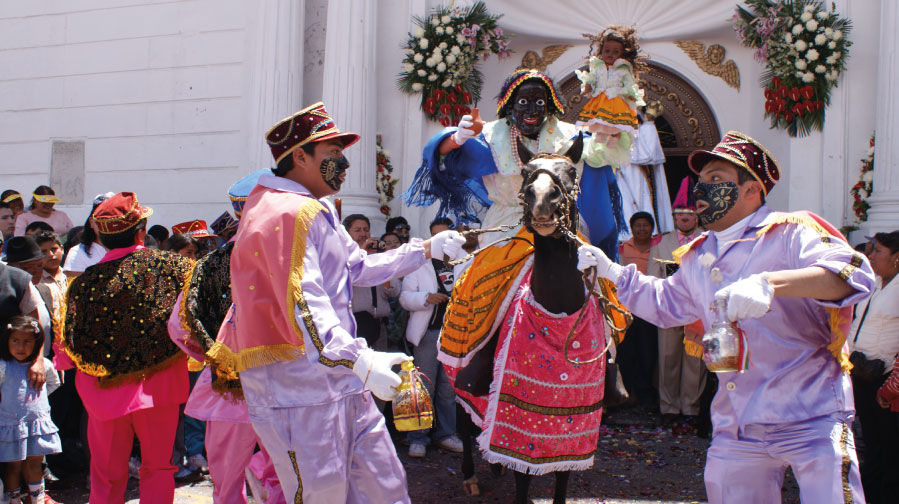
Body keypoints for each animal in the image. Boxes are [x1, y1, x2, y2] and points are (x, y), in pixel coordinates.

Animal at [450, 136, 624, 504]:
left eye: (571, 171)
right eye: (526, 172)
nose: (543, 200)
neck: (558, 309)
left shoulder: (573, 426)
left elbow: (561, 475)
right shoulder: (519, 420)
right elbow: (522, 476)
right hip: (457, 370)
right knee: (462, 417)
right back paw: (470, 475)